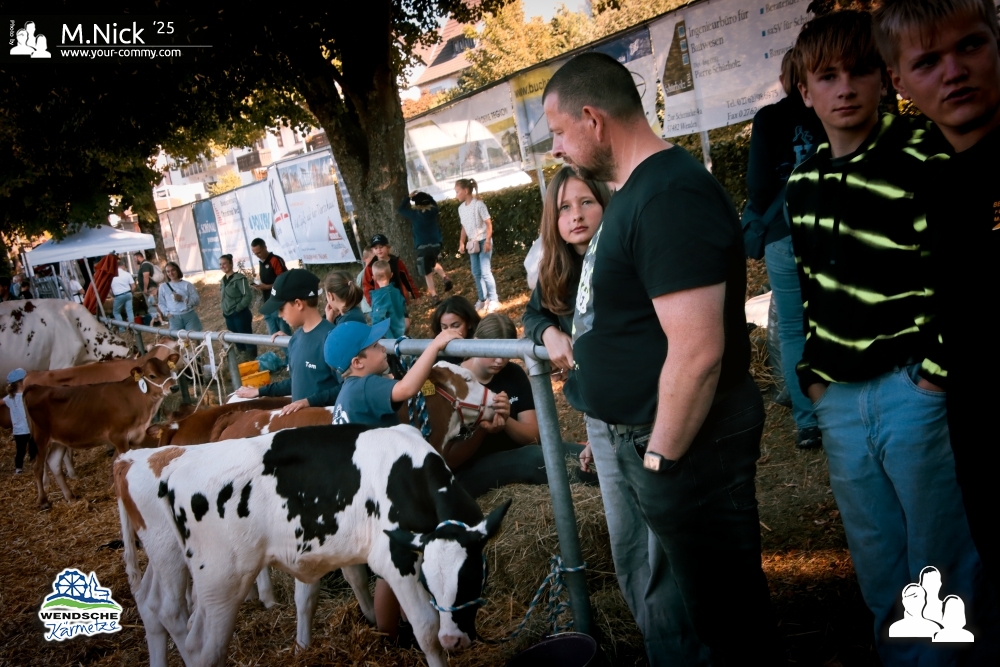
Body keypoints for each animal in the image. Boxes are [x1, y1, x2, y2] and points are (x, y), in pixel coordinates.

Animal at [24, 354, 180, 508]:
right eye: (152, 375)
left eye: (168, 370)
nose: (174, 387)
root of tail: (35, 388)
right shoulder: (118, 437)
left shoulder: (136, 436)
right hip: (40, 438)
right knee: (38, 467)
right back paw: (43, 501)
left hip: (59, 440)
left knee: (54, 463)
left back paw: (70, 497)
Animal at [115, 424, 510, 667]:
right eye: (431, 581)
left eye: (473, 574)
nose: (455, 640)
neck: (406, 470)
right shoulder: (394, 558)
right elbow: (425, 629)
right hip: (217, 579)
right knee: (193, 639)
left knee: (152, 605)